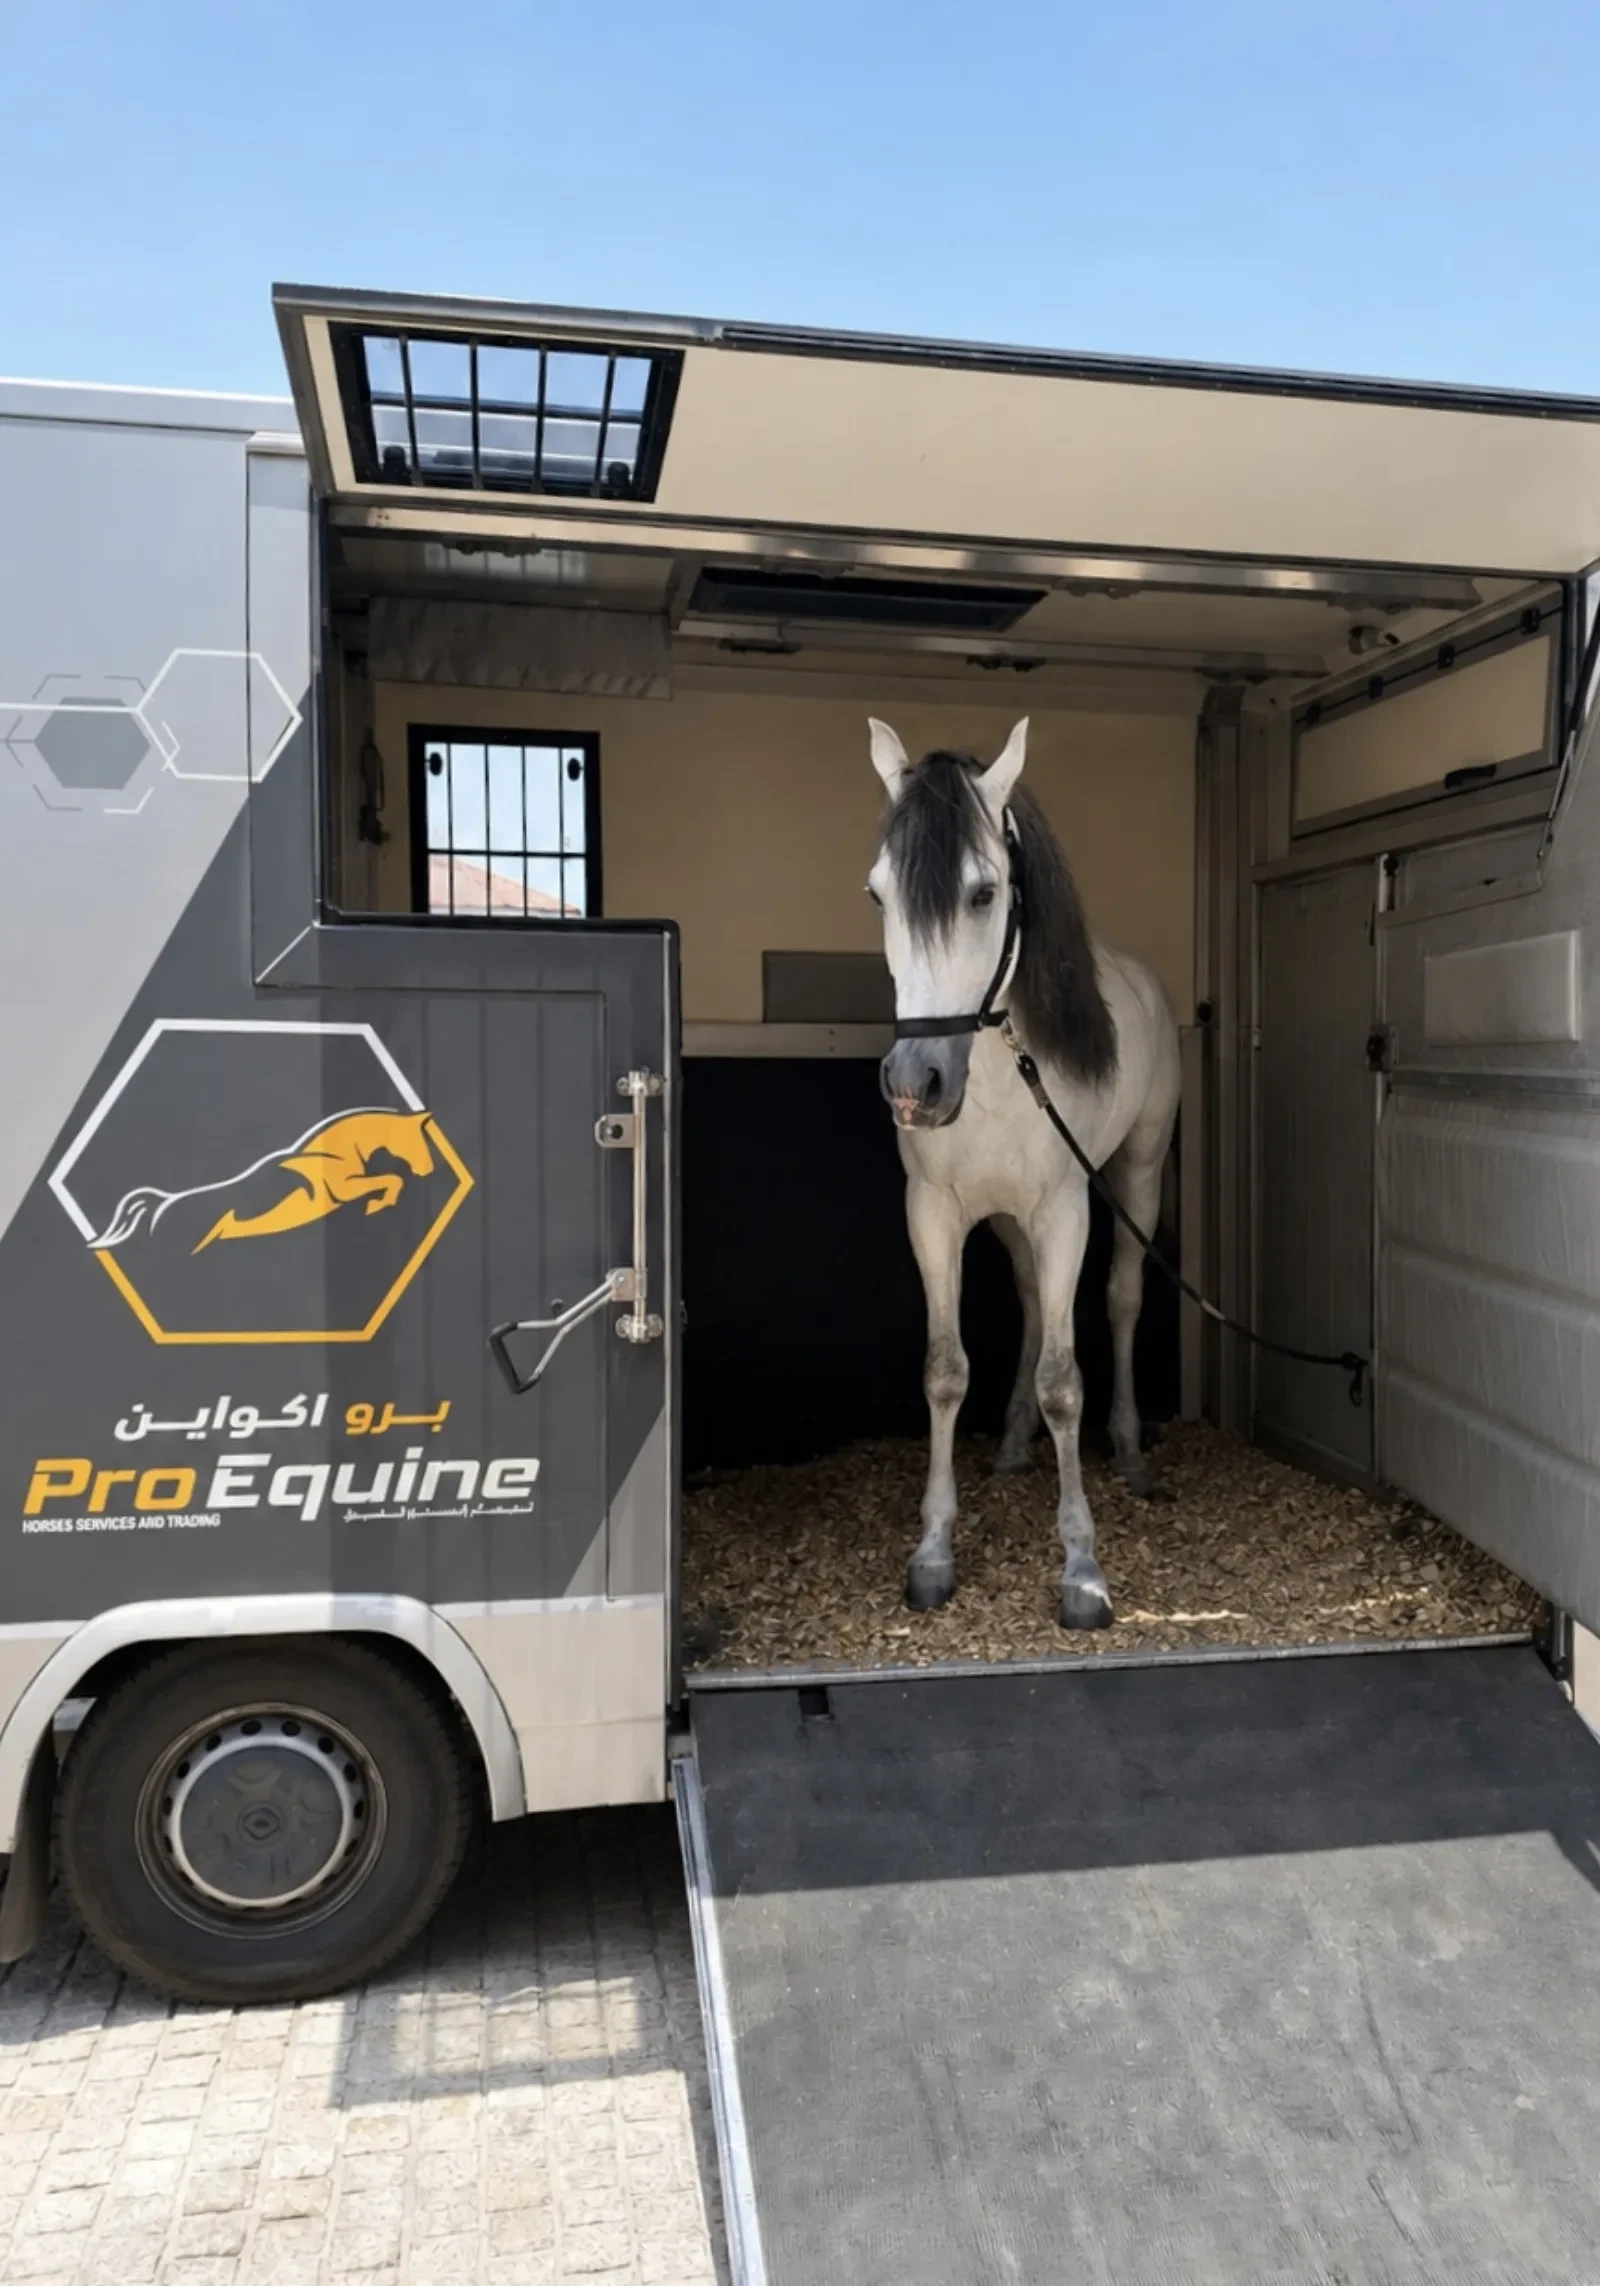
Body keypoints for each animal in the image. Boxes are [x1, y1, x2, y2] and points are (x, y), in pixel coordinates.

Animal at [867, 717, 1181, 1629]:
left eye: (982, 894)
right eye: (878, 896)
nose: (916, 1086)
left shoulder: (1066, 1211)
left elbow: (1065, 1382)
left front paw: (1082, 1568)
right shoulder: (935, 1214)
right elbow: (945, 1371)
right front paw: (933, 1552)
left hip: (1136, 1175)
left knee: (1118, 1301)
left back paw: (1129, 1451)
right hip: (1008, 1222)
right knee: (1039, 1306)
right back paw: (1012, 1443)